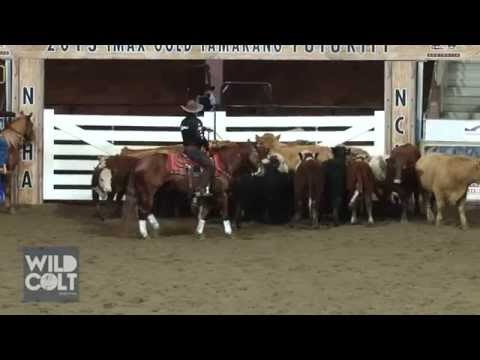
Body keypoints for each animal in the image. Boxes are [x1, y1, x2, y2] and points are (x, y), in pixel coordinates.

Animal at [123, 142, 258, 240]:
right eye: (256, 154)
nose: (260, 170)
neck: (222, 163)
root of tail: (139, 162)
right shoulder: (222, 194)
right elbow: (224, 213)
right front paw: (229, 233)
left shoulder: (209, 196)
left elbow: (204, 214)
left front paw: (199, 233)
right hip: (148, 191)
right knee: (142, 210)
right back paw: (145, 234)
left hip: (149, 191)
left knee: (145, 209)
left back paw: (155, 227)